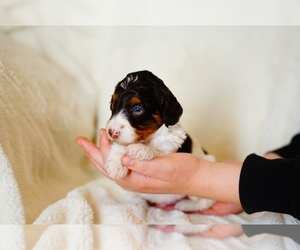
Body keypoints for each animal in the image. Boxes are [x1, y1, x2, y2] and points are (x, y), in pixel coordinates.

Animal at [105, 70, 216, 211]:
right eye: (113, 104)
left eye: (137, 109)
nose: (111, 132)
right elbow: (120, 145)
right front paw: (115, 165)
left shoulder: (174, 139)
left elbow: (159, 148)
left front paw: (141, 149)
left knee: (206, 202)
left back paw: (184, 205)